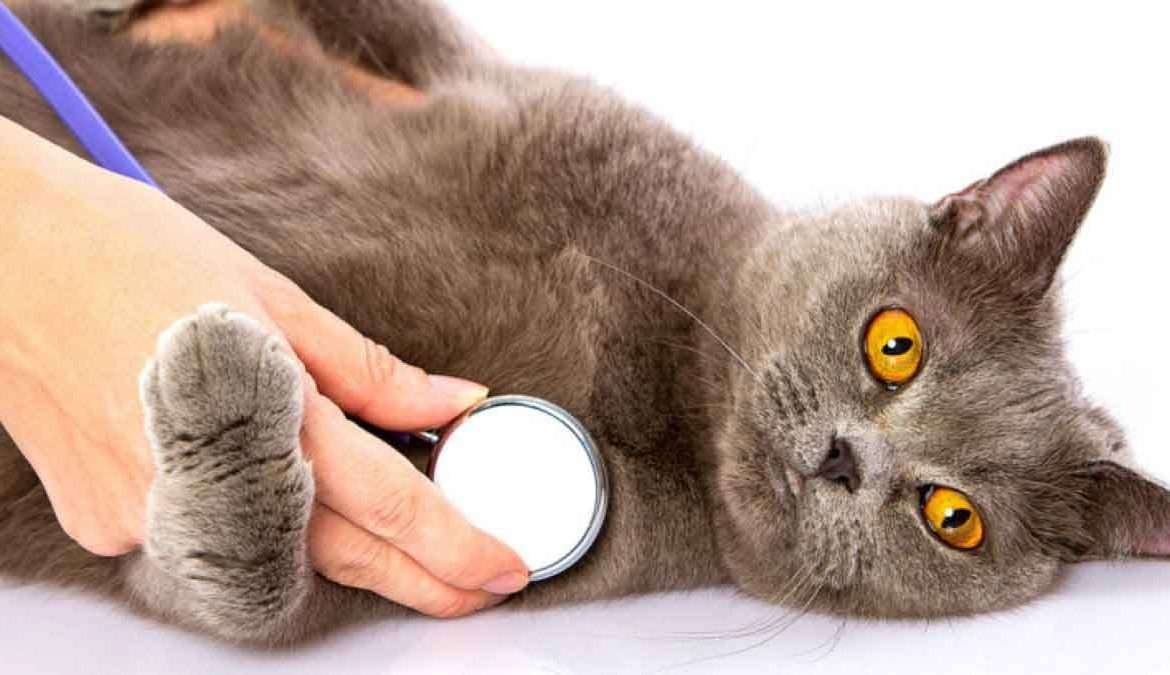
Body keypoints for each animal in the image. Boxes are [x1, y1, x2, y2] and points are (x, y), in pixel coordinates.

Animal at [1, 0, 1168, 646]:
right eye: (897, 343)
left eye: (952, 517)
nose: (845, 456)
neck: (661, 373)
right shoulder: (495, 84)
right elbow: (395, 17)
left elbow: (240, 587)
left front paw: (219, 377)